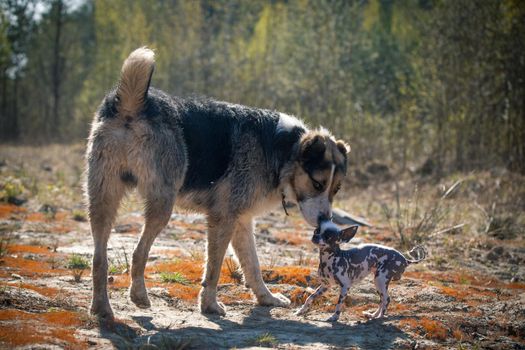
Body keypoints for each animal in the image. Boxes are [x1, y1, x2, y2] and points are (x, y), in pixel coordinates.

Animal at [87, 47, 348, 318]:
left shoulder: (242, 221)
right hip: (161, 204)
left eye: (336, 189)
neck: (284, 148)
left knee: (99, 258)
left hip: (103, 198)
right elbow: (214, 268)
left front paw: (267, 298)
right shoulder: (223, 219)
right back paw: (138, 295)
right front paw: (210, 305)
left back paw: (101, 308)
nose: (325, 222)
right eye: (317, 184)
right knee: (139, 253)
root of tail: (133, 102)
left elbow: (253, 266)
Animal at [294, 221, 426, 322]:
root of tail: (405, 259)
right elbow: (310, 297)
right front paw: (301, 311)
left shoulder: (345, 286)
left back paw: (379, 318)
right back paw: (373, 315)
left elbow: (339, 304)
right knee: (382, 300)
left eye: (328, 236)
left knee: (387, 299)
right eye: (316, 231)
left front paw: (334, 317)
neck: (330, 259)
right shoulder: (325, 286)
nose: (315, 236)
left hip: (380, 279)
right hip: (378, 283)